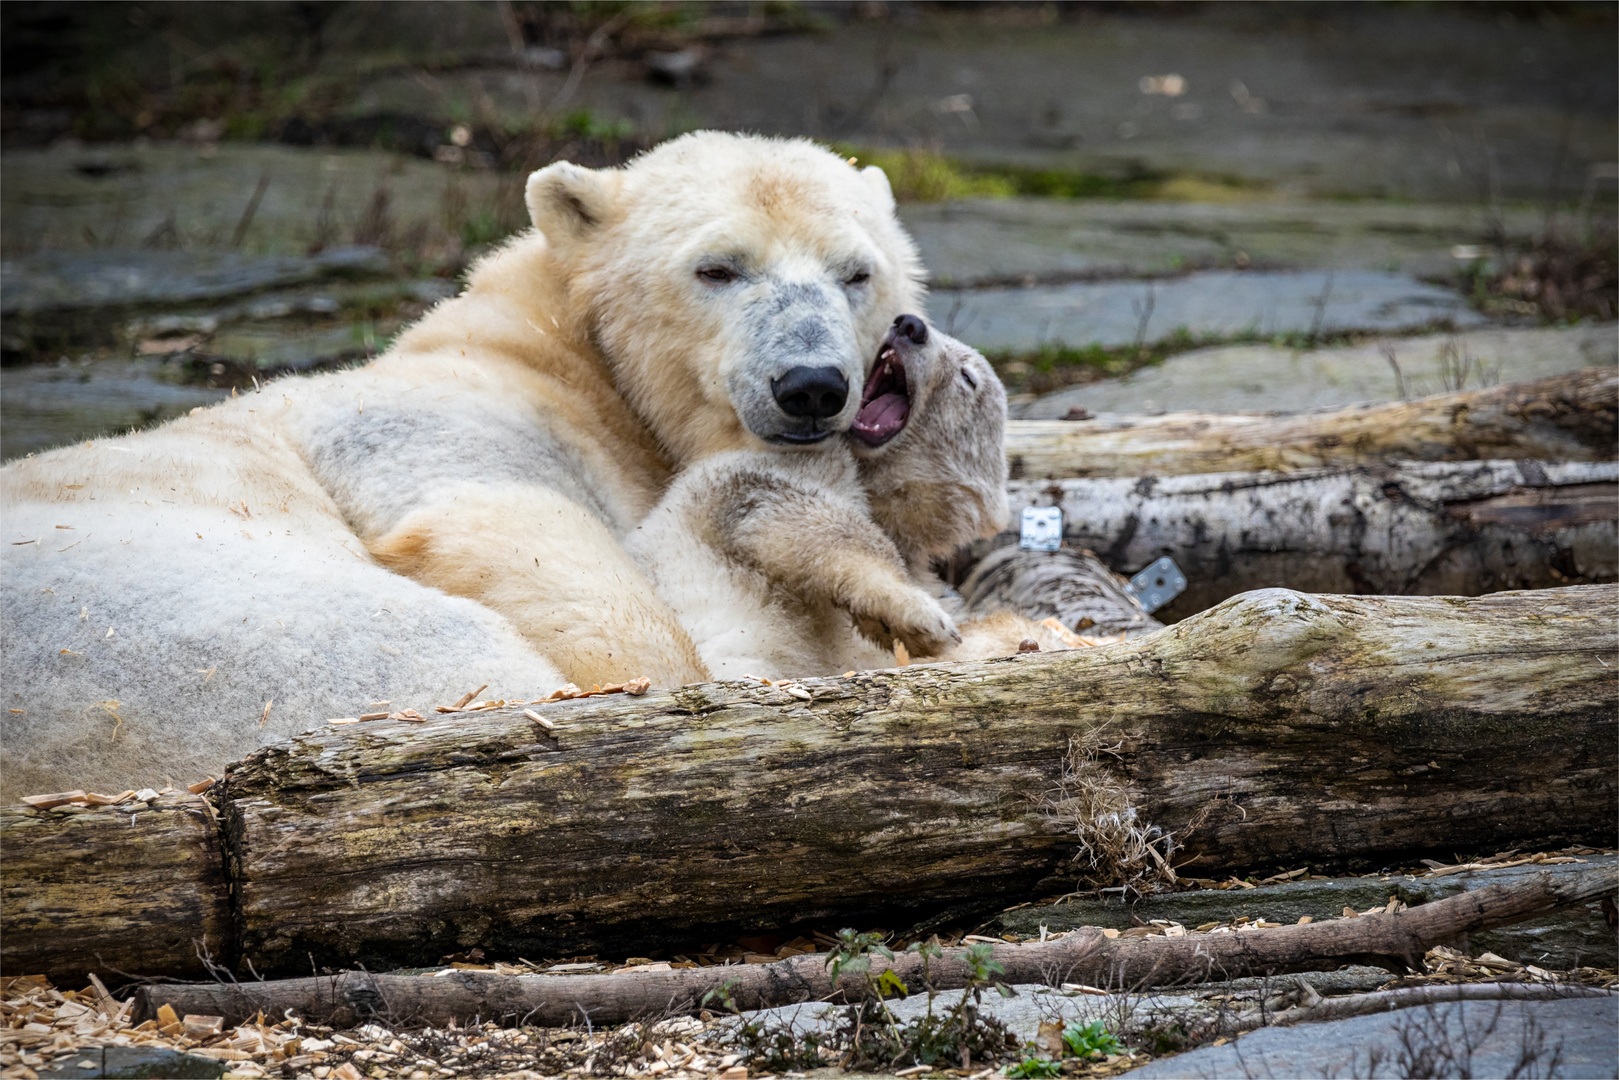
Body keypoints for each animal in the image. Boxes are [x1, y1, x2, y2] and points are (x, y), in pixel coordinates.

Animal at [0, 131, 926, 799]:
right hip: (184, 641)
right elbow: (506, 527)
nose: (809, 385)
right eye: (717, 268)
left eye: (856, 273)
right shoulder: (430, 419)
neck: (565, 351)